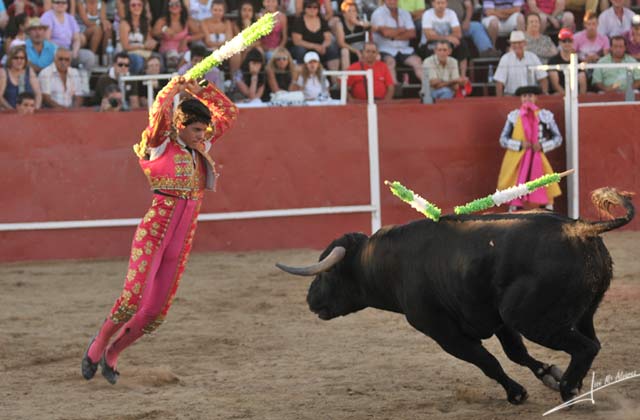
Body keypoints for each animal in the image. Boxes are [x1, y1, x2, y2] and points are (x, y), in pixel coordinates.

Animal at [276, 187, 636, 404]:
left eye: (326, 273)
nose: (311, 300)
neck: (389, 262)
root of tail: (580, 228)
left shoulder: (443, 332)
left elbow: (487, 361)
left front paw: (517, 393)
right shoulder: (499, 320)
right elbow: (516, 354)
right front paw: (547, 374)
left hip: (534, 319)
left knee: (586, 347)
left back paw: (568, 391)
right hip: (580, 311)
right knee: (591, 342)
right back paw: (573, 384)